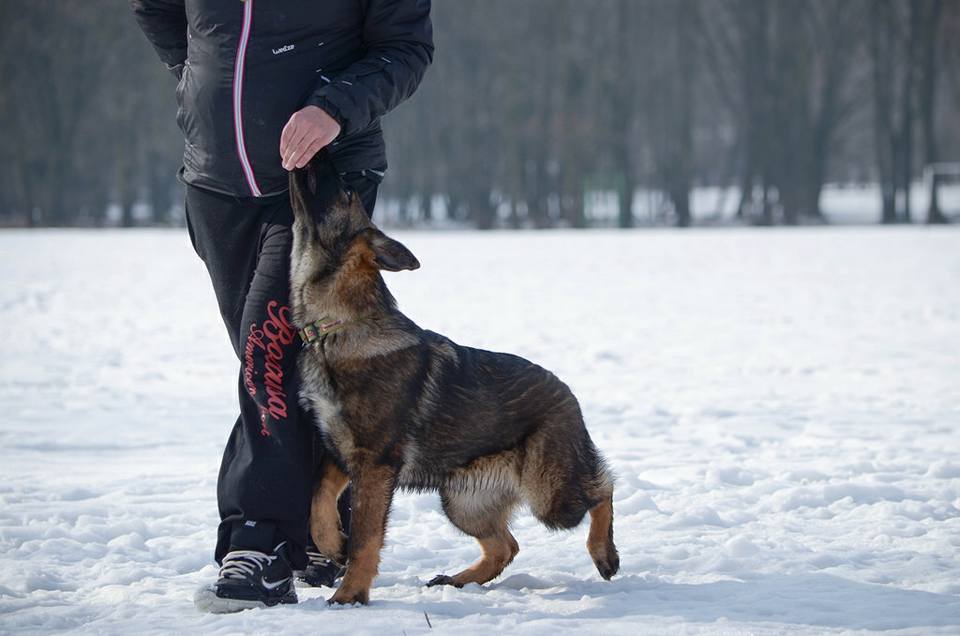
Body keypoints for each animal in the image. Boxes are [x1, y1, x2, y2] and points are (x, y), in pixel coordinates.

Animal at [286, 159, 616, 608]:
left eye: (347, 193)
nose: (320, 157)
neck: (337, 324)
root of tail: (568, 394)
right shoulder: (340, 452)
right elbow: (317, 501)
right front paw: (333, 545)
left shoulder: (374, 462)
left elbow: (366, 537)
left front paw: (350, 593)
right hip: (463, 501)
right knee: (505, 546)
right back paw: (459, 580)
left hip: (550, 495)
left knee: (602, 489)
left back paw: (604, 554)